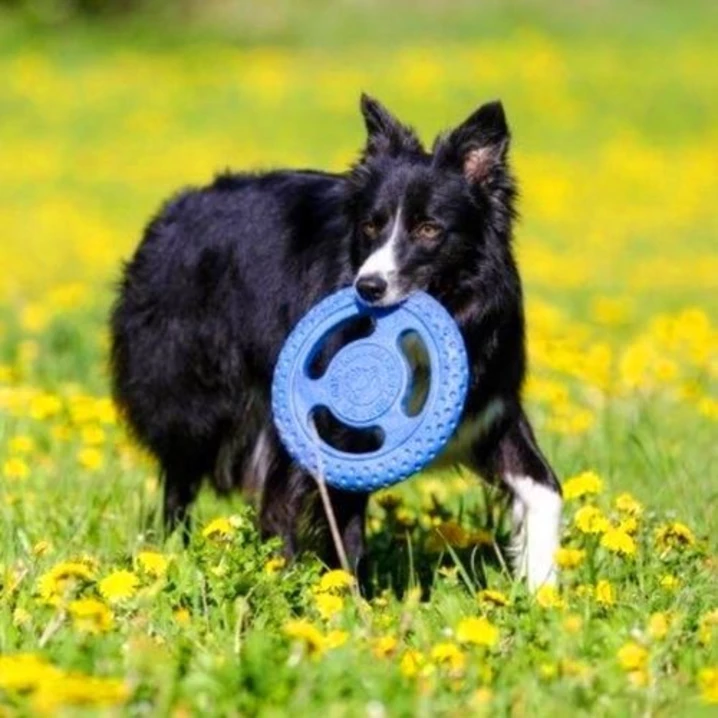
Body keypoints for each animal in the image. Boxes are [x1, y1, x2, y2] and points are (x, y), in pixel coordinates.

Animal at [111, 95, 564, 592]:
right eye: (370, 226)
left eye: (429, 229)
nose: (368, 287)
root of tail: (175, 209)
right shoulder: (337, 433)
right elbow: (345, 534)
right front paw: (349, 602)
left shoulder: (489, 409)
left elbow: (545, 488)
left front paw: (541, 589)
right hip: (194, 396)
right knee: (185, 476)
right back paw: (181, 550)